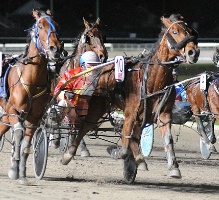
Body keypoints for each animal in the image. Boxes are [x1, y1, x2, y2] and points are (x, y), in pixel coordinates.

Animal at [0, 9, 62, 181]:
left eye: (57, 25)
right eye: (40, 26)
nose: (56, 49)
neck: (31, 80)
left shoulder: (34, 117)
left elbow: (26, 142)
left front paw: (21, 170)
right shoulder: (13, 111)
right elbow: (18, 133)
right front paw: (14, 168)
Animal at [60, 13, 200, 184]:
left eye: (190, 31)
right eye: (175, 31)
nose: (193, 52)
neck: (153, 79)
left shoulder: (163, 114)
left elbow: (166, 138)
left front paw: (174, 167)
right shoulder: (130, 112)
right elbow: (125, 142)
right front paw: (119, 152)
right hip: (98, 107)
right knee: (85, 126)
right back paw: (68, 154)